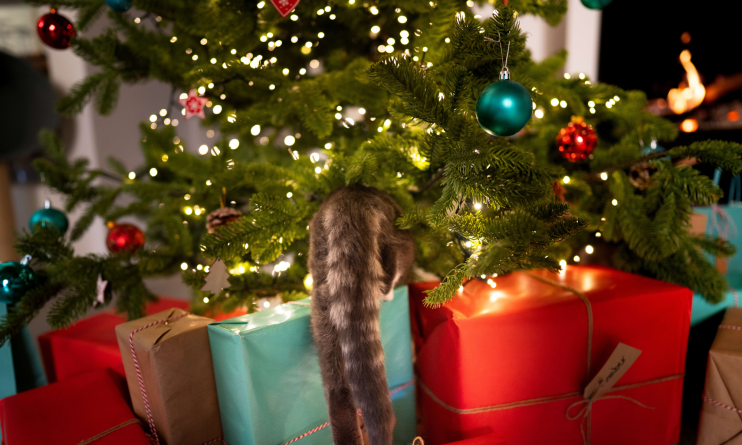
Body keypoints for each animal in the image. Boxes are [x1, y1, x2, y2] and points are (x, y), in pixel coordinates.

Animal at [306, 185, 412, 444]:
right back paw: (386, 292)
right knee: (391, 262)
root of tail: (352, 197)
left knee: (338, 393)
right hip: (393, 238)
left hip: (323, 301)